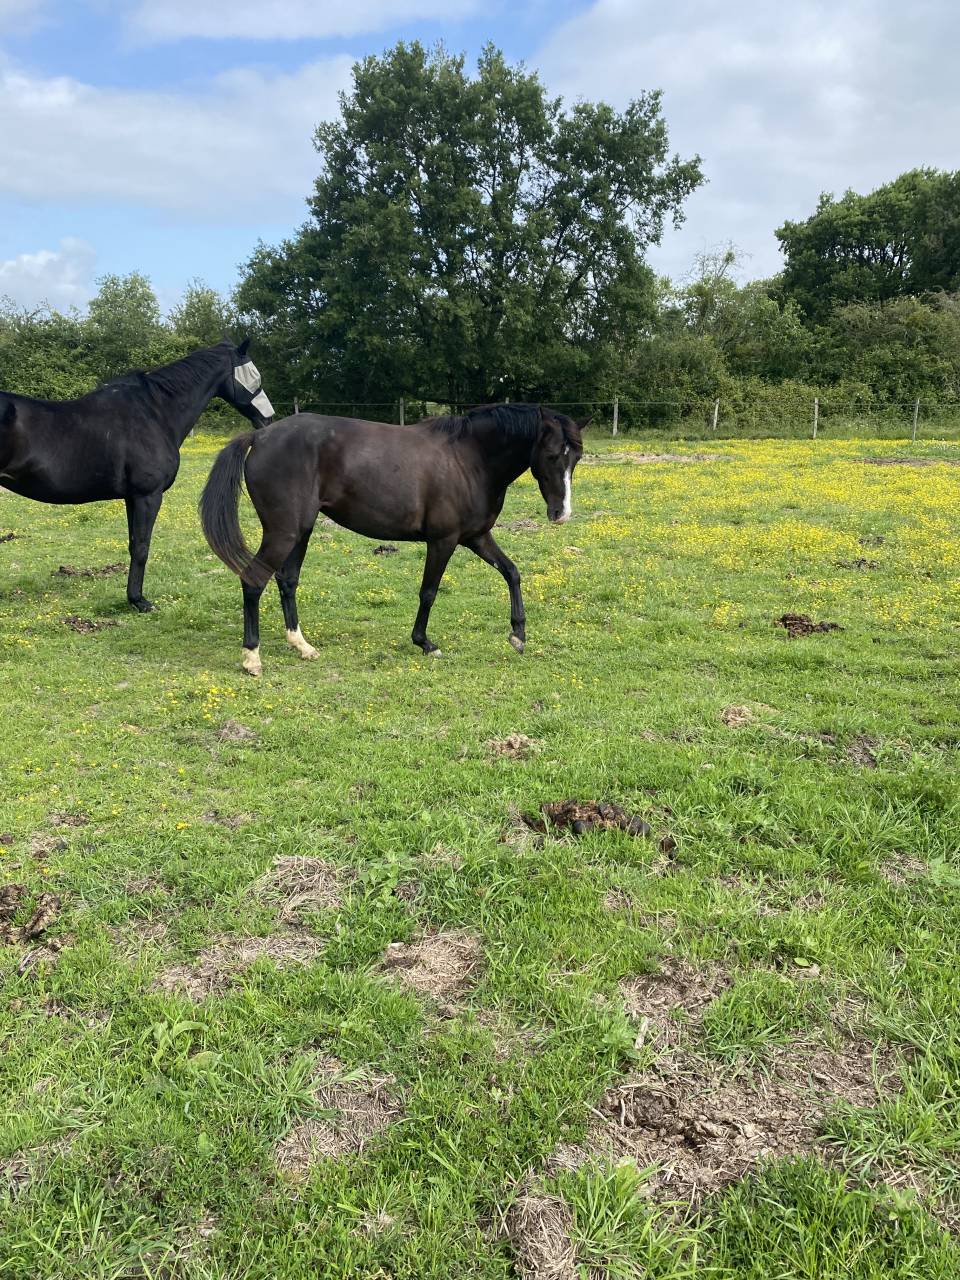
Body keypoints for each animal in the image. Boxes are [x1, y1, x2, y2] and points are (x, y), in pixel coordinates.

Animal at [0, 338, 274, 611]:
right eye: (256, 376)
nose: (268, 420)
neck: (154, 412)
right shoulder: (147, 496)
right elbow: (142, 547)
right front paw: (139, 601)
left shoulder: (131, 498)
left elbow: (133, 544)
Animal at [199, 402, 587, 675]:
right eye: (552, 455)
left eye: (577, 458)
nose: (561, 513)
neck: (469, 458)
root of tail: (260, 437)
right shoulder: (443, 540)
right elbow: (429, 592)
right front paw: (425, 643)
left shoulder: (477, 537)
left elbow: (512, 572)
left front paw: (518, 635)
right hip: (283, 532)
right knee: (253, 580)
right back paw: (252, 658)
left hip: (301, 530)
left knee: (287, 579)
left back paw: (301, 646)